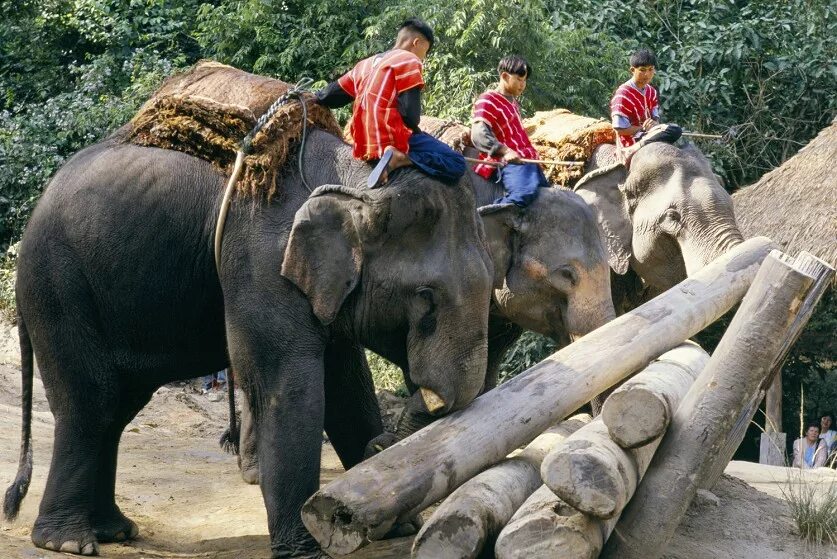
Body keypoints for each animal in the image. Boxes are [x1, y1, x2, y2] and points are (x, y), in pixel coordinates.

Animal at [3, 127, 494, 559]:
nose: (381, 443)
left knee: (119, 408)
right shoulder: (263, 261)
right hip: (58, 286)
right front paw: (305, 550)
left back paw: (113, 531)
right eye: (426, 298)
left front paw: (396, 525)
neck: (359, 179)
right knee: (93, 402)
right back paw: (68, 543)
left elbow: (347, 384)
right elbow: (287, 388)